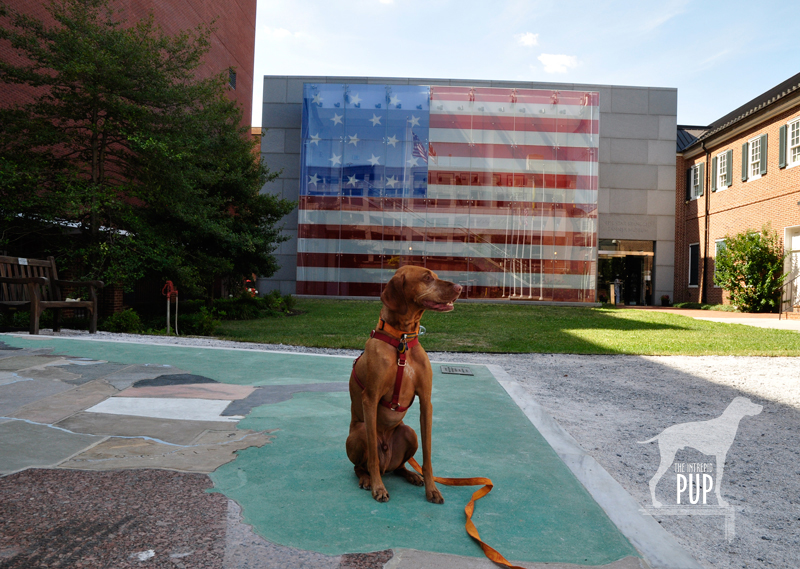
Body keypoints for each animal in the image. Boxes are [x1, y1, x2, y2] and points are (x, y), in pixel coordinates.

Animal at [344, 266, 462, 502]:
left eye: (435, 275)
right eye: (427, 277)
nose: (460, 287)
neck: (402, 340)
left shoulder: (426, 401)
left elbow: (427, 456)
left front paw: (432, 489)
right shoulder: (370, 399)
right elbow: (372, 457)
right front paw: (378, 488)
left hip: (409, 432)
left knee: (399, 466)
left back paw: (411, 475)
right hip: (360, 431)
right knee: (362, 466)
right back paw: (367, 479)